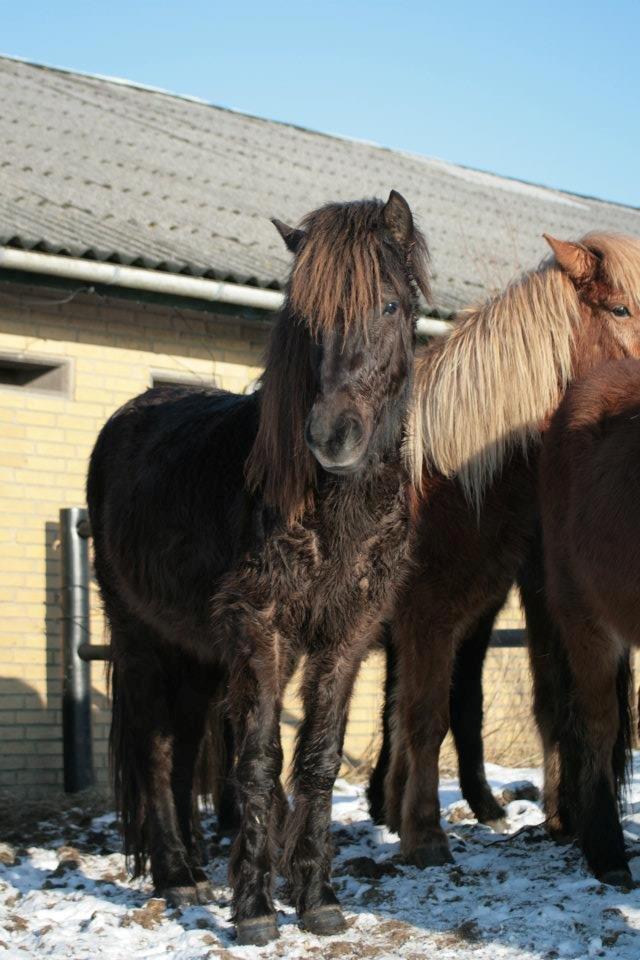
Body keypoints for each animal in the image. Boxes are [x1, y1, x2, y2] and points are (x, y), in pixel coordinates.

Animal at [87, 193, 430, 944]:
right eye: (302, 317)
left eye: (390, 304)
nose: (332, 436)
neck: (332, 508)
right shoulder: (261, 630)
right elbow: (259, 760)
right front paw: (254, 911)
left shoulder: (346, 637)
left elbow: (320, 759)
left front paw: (318, 899)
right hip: (140, 639)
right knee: (156, 752)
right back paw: (178, 878)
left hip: (195, 655)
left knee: (185, 749)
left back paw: (189, 870)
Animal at [370, 232, 640, 872]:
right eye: (621, 309)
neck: (442, 475)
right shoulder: (426, 619)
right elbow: (426, 717)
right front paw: (425, 838)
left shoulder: (453, 619)